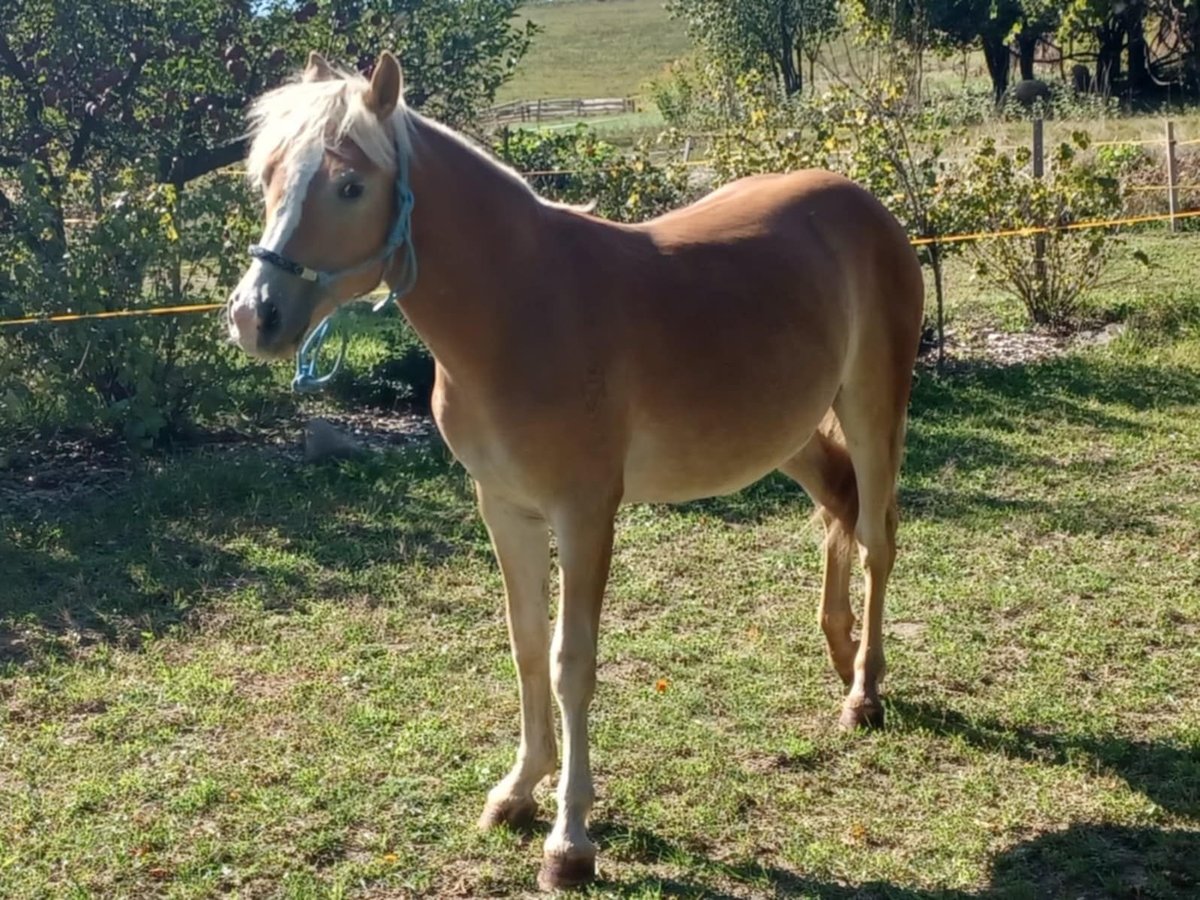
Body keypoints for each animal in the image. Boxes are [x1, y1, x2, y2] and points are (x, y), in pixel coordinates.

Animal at [226, 51, 926, 897]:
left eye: (350, 184)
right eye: (267, 176)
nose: (254, 315)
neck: (522, 308)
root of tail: (863, 204)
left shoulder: (585, 511)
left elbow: (572, 663)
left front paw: (570, 840)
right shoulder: (506, 508)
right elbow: (527, 645)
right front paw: (517, 792)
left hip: (872, 405)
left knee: (877, 537)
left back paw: (864, 691)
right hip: (789, 433)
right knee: (838, 510)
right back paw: (840, 651)